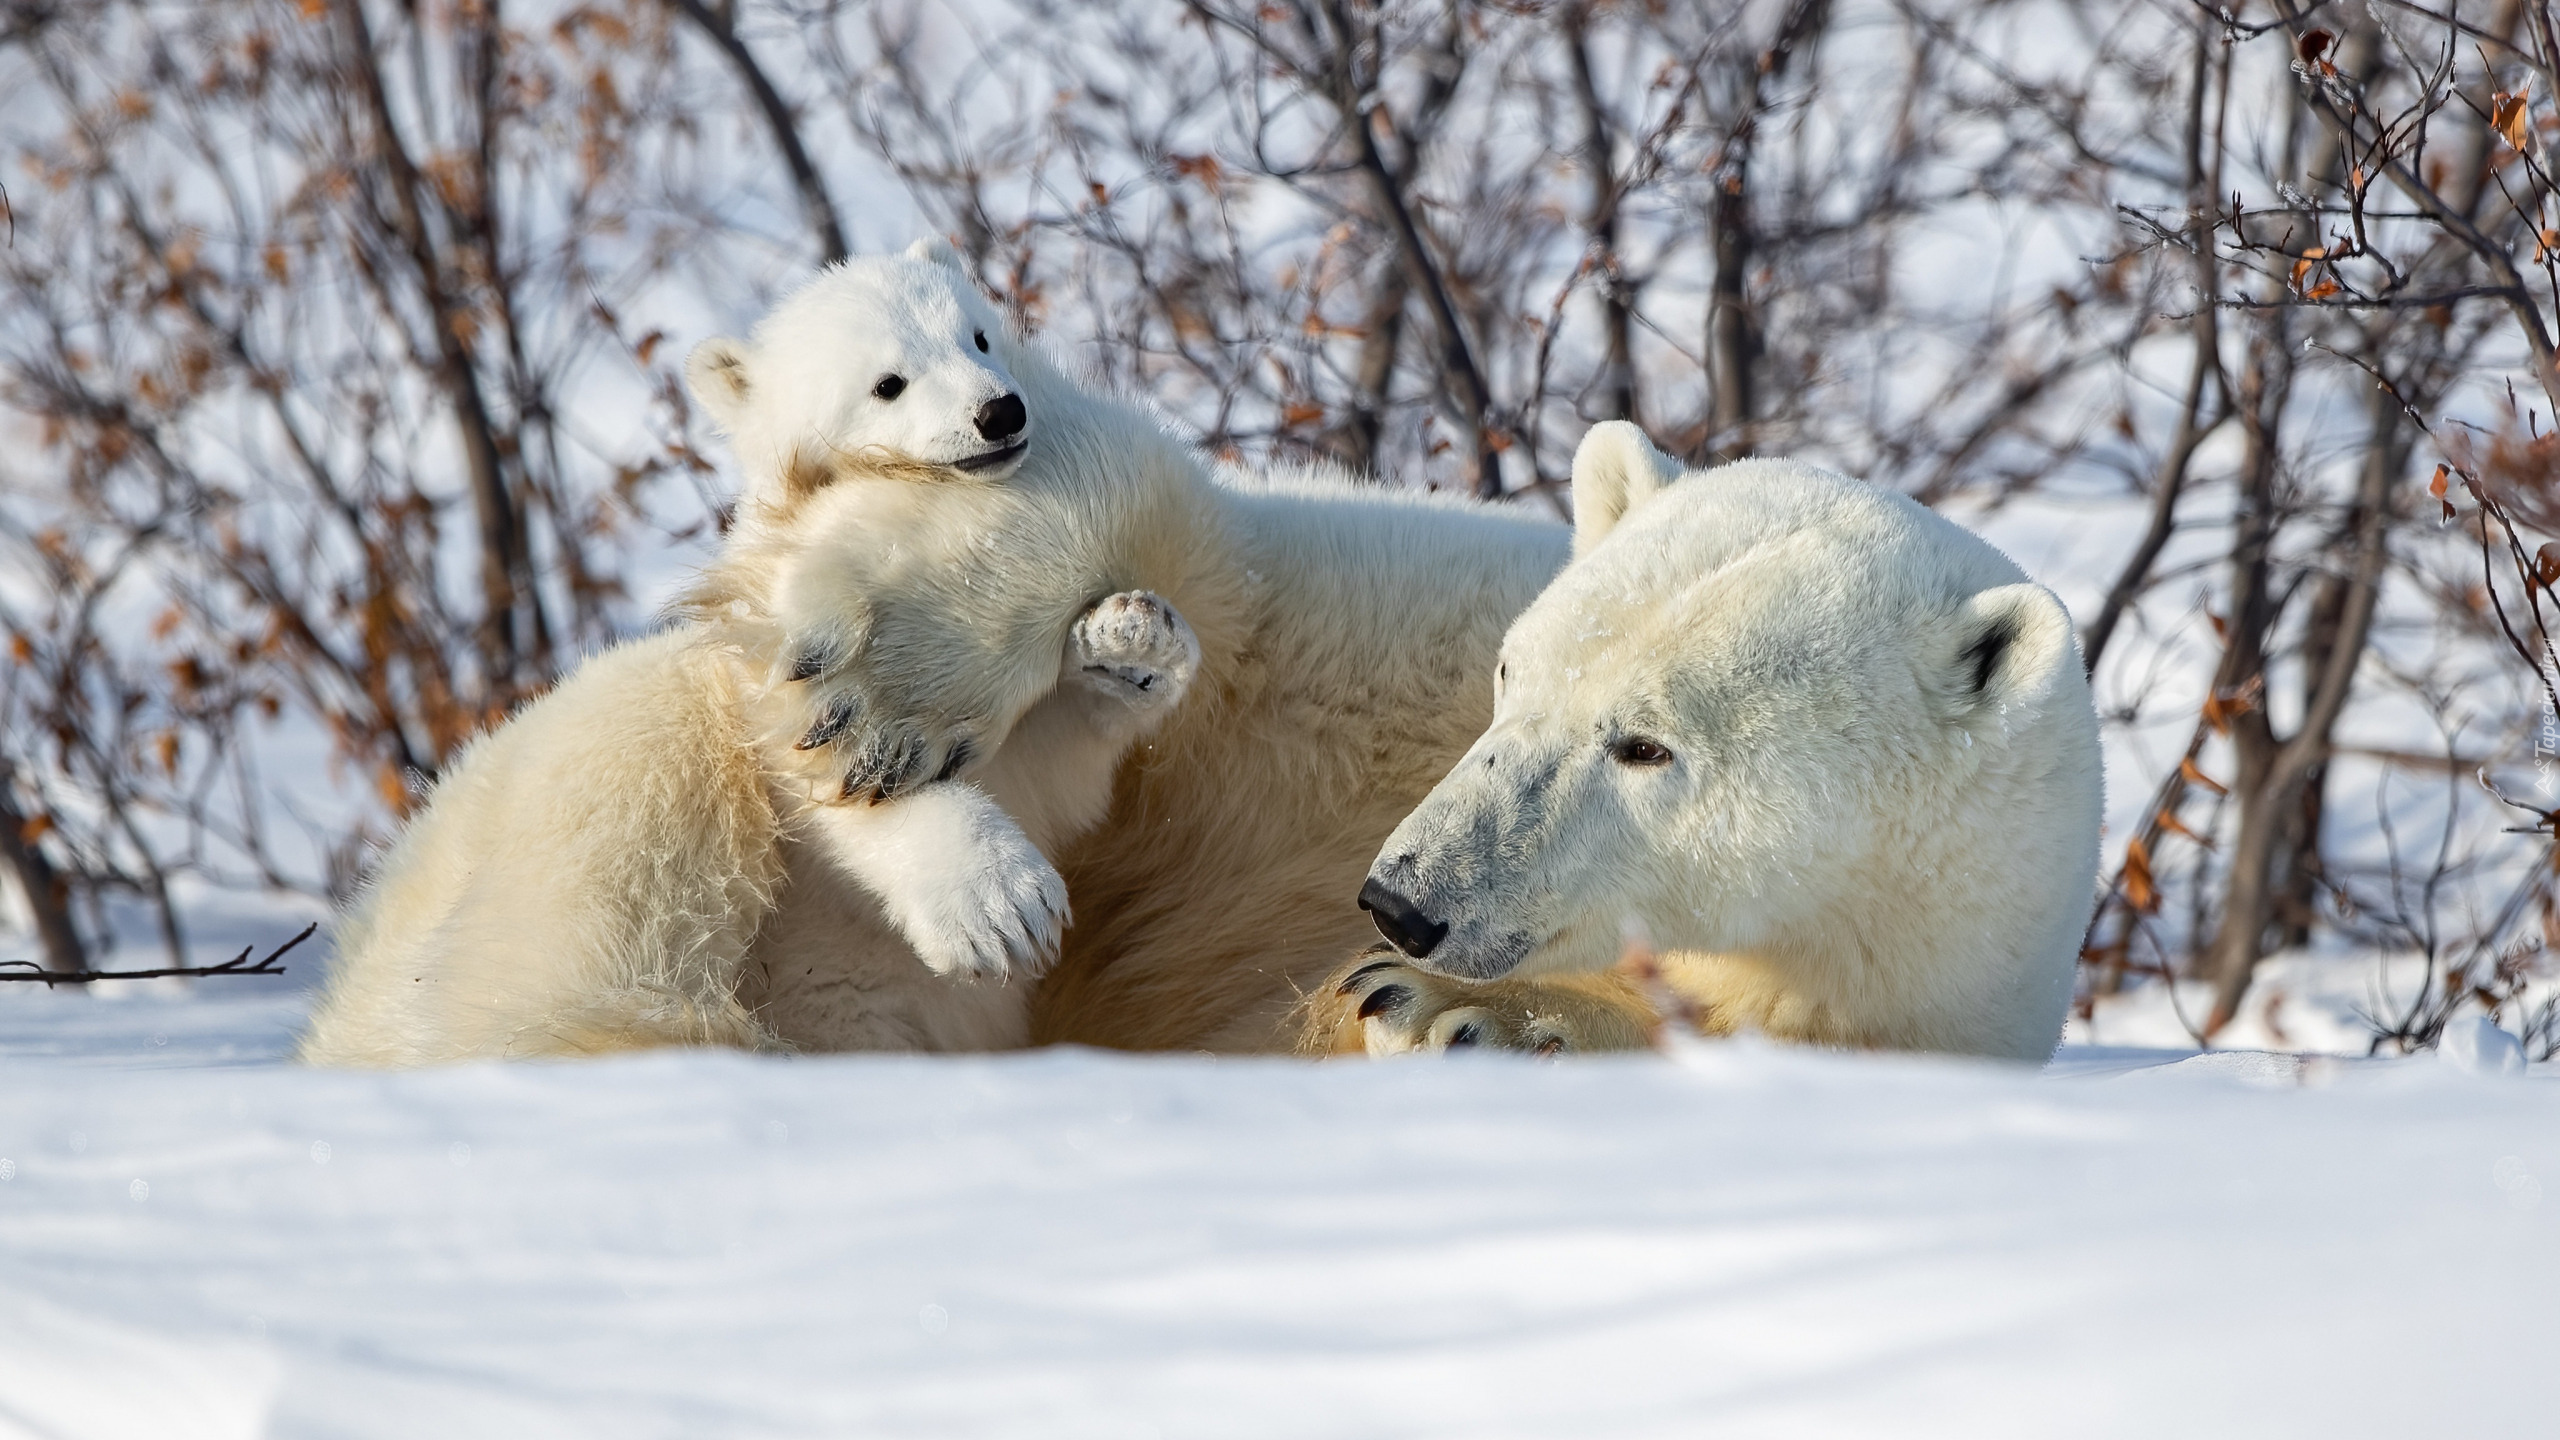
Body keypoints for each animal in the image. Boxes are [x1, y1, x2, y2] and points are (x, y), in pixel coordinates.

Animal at [304, 243, 1203, 1055]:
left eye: (979, 336)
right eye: (888, 382)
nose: (1000, 412)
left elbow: (1058, 763)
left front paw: (1129, 644)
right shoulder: (760, 663)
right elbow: (820, 773)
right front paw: (998, 907)